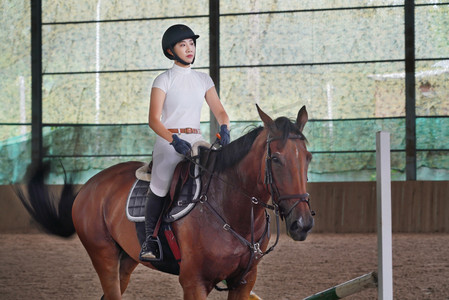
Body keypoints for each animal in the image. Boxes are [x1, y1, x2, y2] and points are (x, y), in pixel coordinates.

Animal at [16, 105, 312, 300]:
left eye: (308, 157)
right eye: (275, 159)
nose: (302, 223)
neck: (230, 209)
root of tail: (90, 186)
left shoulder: (244, 282)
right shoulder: (194, 283)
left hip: (127, 259)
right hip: (103, 255)